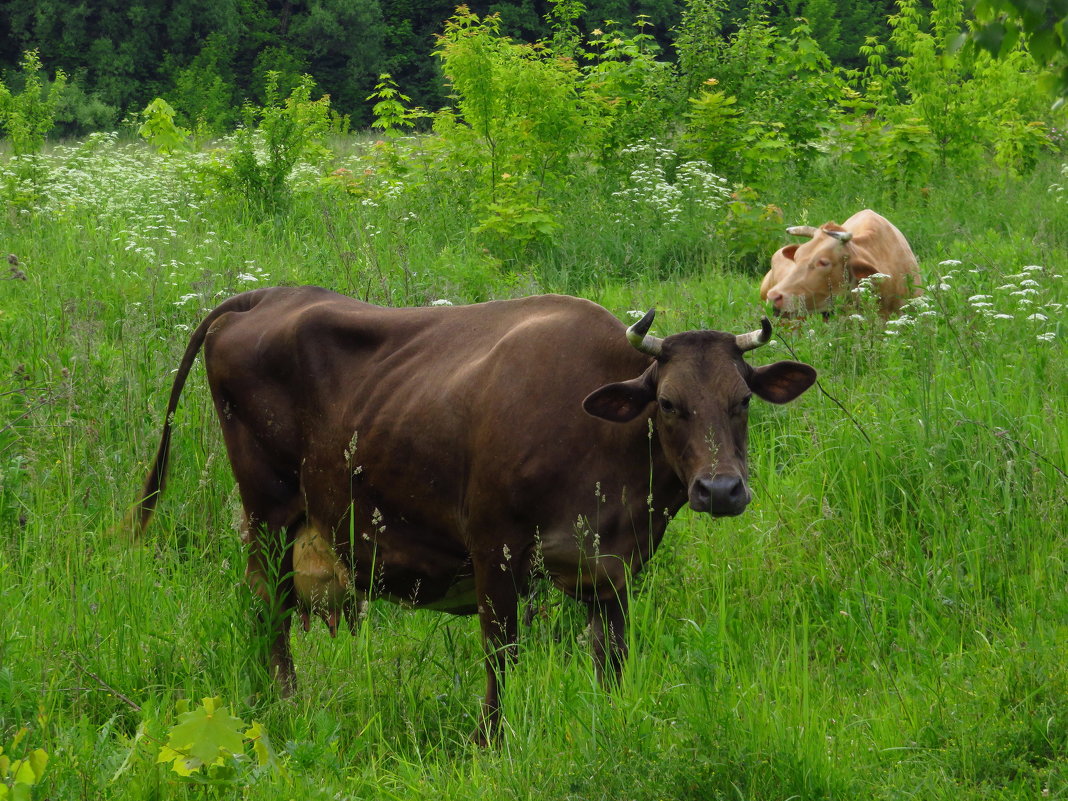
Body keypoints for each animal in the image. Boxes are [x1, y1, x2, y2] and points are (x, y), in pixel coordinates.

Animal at [135, 286, 815, 739]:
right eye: (669, 404)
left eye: (741, 400)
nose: (721, 489)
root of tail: (268, 296)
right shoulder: (495, 548)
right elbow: (502, 653)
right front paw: (491, 739)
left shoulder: (615, 568)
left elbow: (612, 657)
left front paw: (610, 721)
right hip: (269, 513)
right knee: (271, 612)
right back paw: (287, 704)